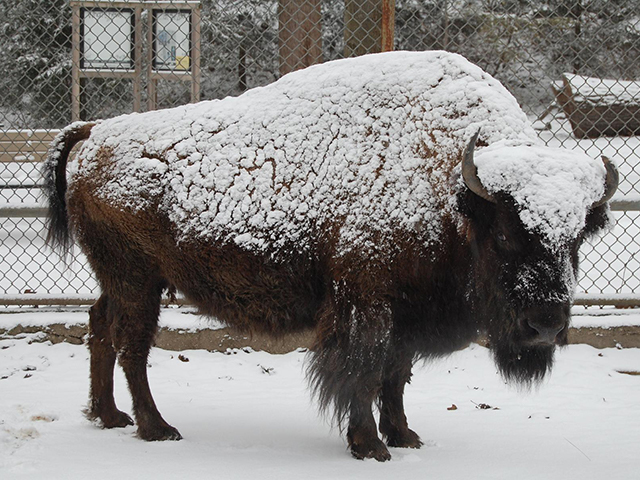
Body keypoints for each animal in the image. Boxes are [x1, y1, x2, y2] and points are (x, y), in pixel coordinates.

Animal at [43, 49, 616, 462]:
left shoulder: (406, 312)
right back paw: (156, 428)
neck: (449, 183)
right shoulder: (366, 304)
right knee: (132, 346)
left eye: (577, 238)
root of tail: (96, 131)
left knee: (98, 327)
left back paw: (107, 416)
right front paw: (370, 446)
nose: (545, 325)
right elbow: (362, 372)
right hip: (138, 280)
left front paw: (405, 435)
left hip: (122, 280)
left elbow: (395, 374)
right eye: (504, 236)